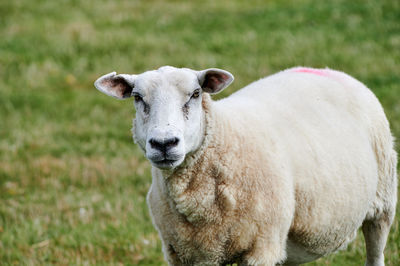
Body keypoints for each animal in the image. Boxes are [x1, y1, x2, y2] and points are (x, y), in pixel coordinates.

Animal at [94, 66, 396, 266]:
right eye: (137, 97)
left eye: (195, 93)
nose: (164, 143)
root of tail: (329, 70)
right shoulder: (186, 252)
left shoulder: (261, 248)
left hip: (382, 204)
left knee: (376, 252)